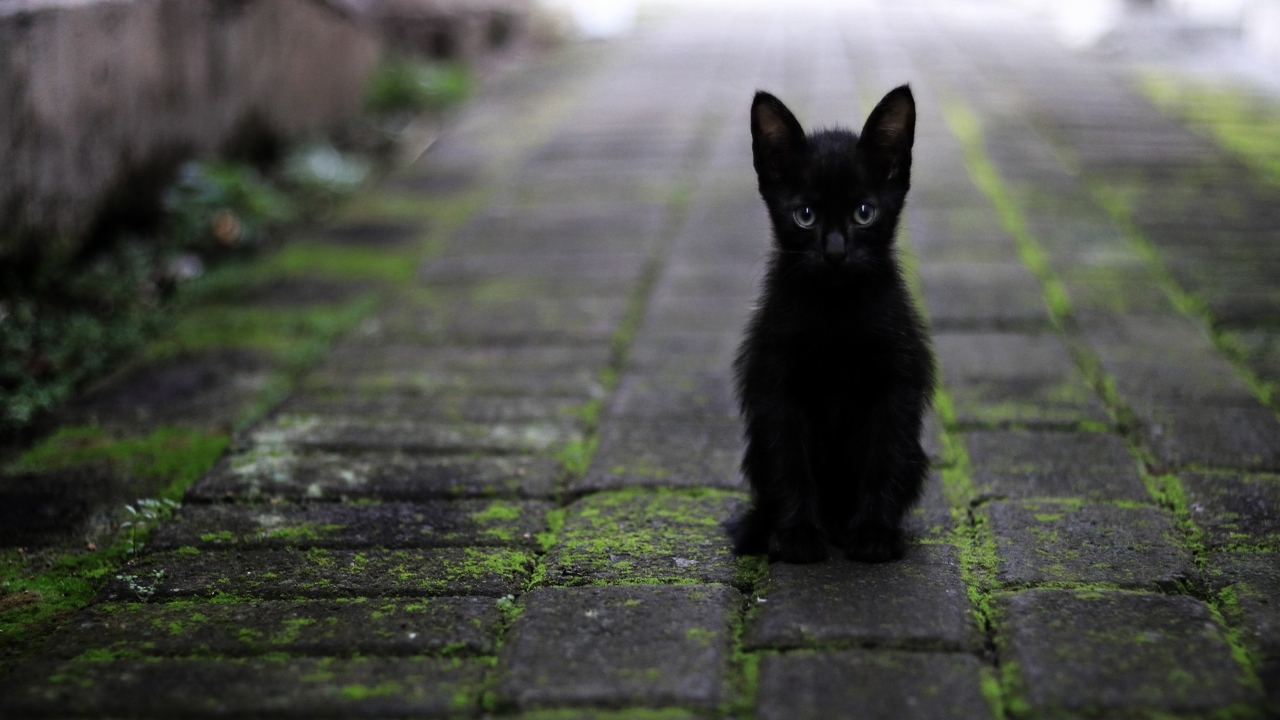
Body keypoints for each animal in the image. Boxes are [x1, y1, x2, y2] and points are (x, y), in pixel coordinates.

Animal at [732, 87, 931, 561]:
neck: (837, 310)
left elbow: (884, 457)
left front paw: (875, 532)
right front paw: (799, 534)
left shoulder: (898, 381)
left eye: (864, 213)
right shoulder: (775, 385)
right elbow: (789, 461)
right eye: (805, 215)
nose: (836, 251)